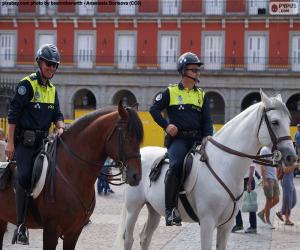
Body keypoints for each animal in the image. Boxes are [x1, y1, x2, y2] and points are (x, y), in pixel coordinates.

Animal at [0, 102, 144, 249]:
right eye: (127, 136)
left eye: (139, 139)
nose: (136, 176)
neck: (72, 172)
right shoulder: (51, 231)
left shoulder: (74, 231)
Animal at [116, 90, 296, 250]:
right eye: (275, 122)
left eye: (289, 121)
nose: (291, 157)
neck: (225, 165)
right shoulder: (207, 222)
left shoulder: (226, 225)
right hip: (133, 208)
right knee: (128, 239)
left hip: (154, 209)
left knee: (145, 237)